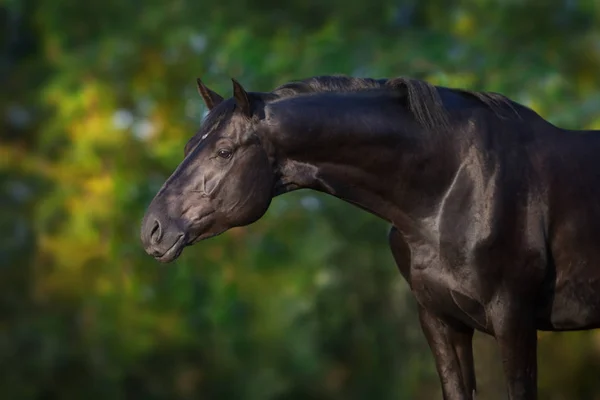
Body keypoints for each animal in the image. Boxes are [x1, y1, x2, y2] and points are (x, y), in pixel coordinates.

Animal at [141, 74, 600, 396]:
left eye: (223, 152)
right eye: (188, 146)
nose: (152, 229)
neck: (452, 185)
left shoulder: (513, 318)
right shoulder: (440, 321)